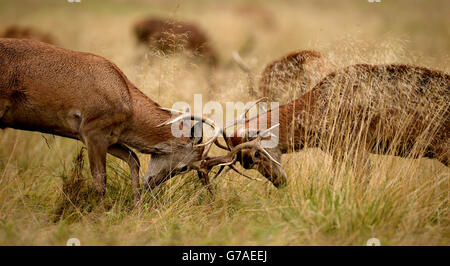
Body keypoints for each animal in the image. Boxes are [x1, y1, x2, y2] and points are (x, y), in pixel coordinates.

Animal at [0, 38, 241, 202]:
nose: (150, 185)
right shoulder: (92, 132)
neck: (126, 99)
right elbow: (100, 180)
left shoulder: (107, 137)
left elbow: (133, 159)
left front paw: (136, 206)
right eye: (184, 168)